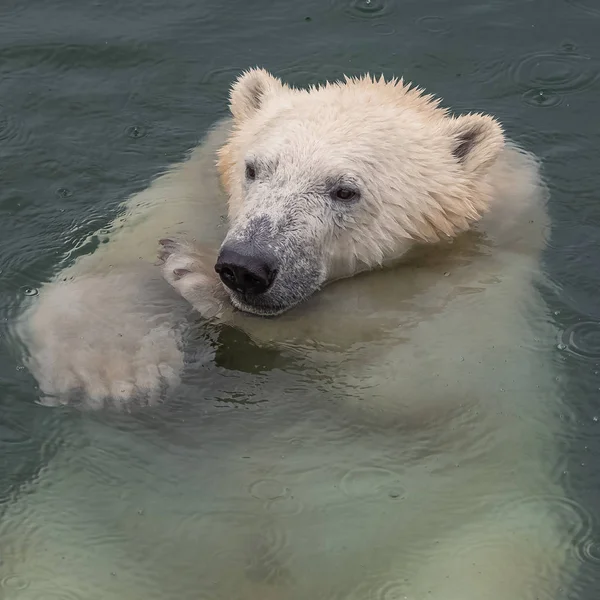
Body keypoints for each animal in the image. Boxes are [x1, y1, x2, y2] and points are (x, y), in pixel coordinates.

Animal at [4, 68, 576, 596]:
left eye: (345, 190)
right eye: (255, 168)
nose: (245, 266)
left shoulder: (490, 264)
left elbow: (422, 373)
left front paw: (196, 275)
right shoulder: (195, 189)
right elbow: (107, 267)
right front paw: (112, 369)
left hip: (475, 540)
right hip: (81, 536)